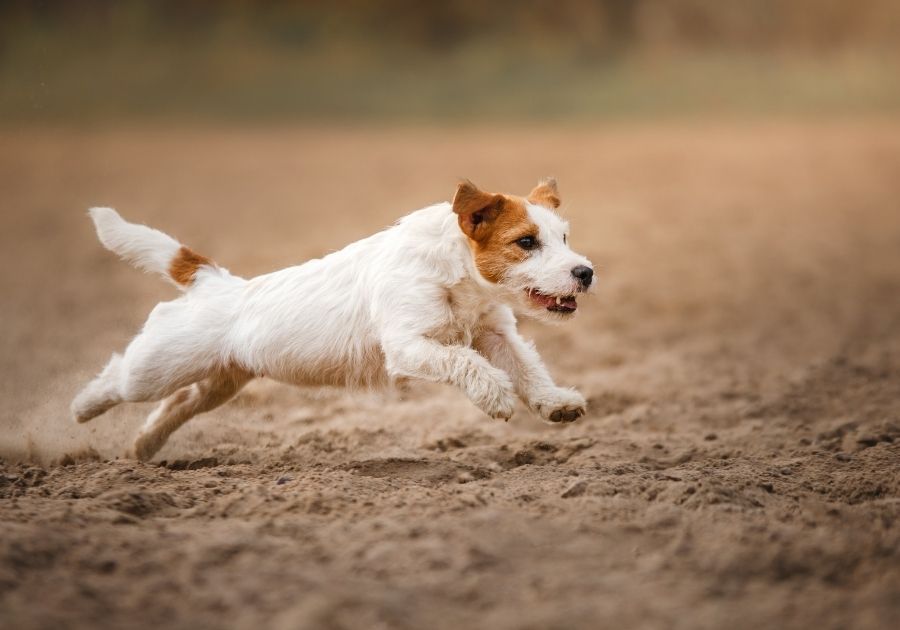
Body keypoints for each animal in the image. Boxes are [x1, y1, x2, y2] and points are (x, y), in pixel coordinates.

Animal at [74, 180, 596, 462]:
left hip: (219, 382)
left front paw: (556, 403)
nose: (586, 272)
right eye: (526, 242)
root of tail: (212, 281)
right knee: (118, 378)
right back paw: (80, 410)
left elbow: (527, 369)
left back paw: (140, 451)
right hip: (157, 366)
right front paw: (494, 396)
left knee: (176, 405)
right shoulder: (409, 345)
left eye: (564, 237)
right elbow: (466, 363)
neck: (456, 273)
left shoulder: (496, 335)